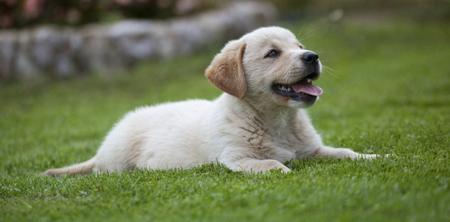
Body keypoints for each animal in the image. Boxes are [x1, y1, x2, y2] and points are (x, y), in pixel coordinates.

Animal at [44, 26, 378, 176]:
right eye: (272, 53)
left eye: (299, 46)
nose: (312, 56)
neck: (277, 120)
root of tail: (102, 151)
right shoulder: (236, 158)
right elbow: (272, 163)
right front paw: (285, 170)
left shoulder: (313, 149)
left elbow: (346, 152)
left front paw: (375, 156)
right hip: (117, 161)